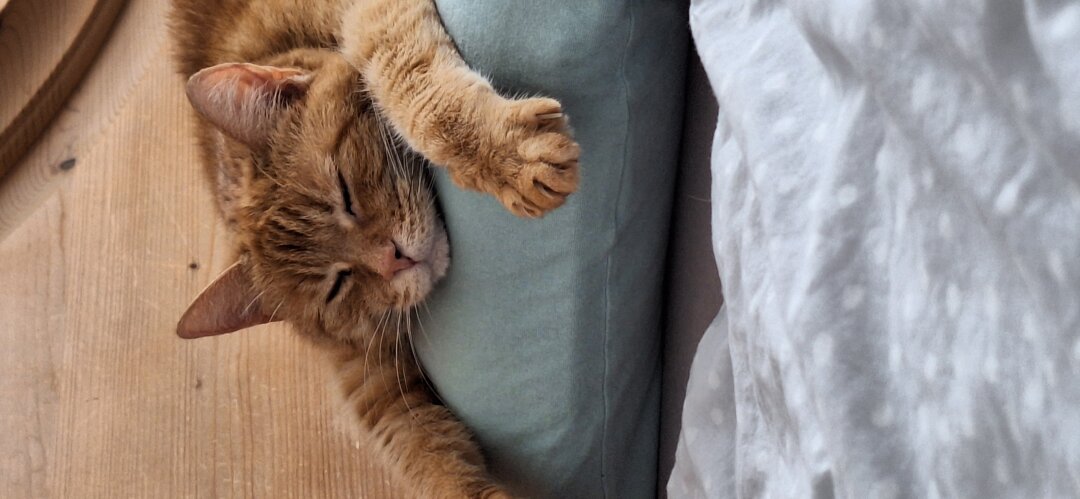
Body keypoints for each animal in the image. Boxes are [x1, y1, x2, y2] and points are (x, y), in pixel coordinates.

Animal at [166, 1, 583, 496]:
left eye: (345, 193)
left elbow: (409, 85)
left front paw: (505, 156)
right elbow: (425, 454)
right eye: (337, 287)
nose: (394, 259)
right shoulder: (370, 379)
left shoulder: (367, 17)